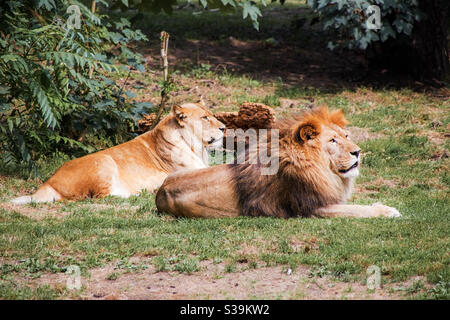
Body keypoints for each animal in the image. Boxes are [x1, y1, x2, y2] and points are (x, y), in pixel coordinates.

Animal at [11, 102, 225, 204]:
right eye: (205, 118)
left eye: (212, 115)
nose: (224, 128)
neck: (196, 146)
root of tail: (49, 182)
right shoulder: (191, 171)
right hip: (104, 161)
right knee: (101, 196)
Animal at [157, 106, 400, 219]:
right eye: (332, 140)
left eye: (346, 136)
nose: (357, 152)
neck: (319, 168)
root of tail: (159, 193)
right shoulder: (311, 208)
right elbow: (356, 210)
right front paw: (388, 211)